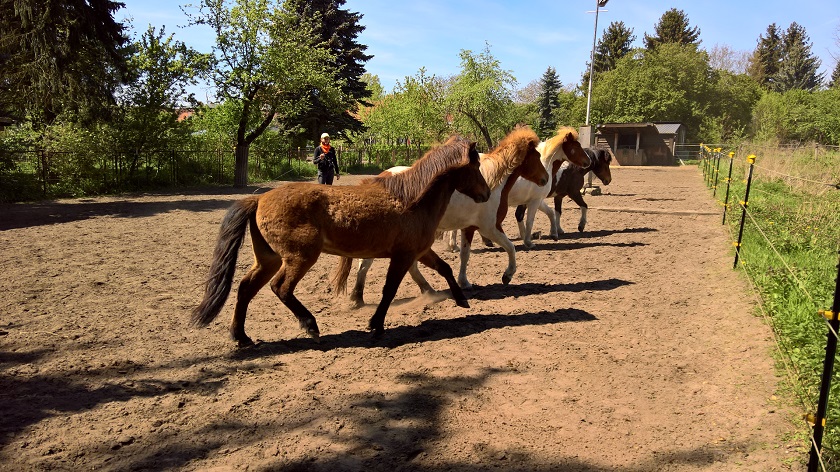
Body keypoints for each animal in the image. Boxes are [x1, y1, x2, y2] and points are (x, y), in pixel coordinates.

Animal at [190, 135, 492, 344]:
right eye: (476, 165)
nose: (487, 193)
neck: (412, 200)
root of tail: (259, 199)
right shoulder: (404, 256)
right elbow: (389, 290)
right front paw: (375, 325)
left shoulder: (419, 251)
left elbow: (445, 268)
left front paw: (462, 300)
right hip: (300, 258)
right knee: (281, 288)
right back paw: (310, 325)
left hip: (269, 259)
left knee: (245, 288)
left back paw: (241, 337)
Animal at [342, 127, 552, 304]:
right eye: (536, 156)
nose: (546, 179)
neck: (494, 184)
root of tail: (382, 177)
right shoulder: (490, 228)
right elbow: (511, 248)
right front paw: (507, 275)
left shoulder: (469, 228)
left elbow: (465, 255)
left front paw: (464, 282)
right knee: (366, 263)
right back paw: (357, 298)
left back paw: (427, 290)